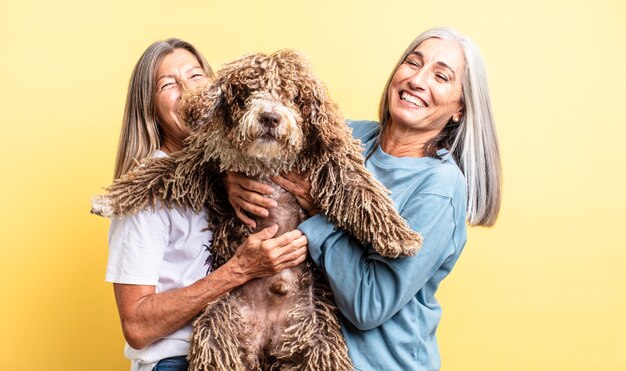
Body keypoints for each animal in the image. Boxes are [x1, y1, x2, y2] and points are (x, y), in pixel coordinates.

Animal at [91, 50, 420, 371]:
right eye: (248, 91)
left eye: (293, 96)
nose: (270, 117)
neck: (268, 163)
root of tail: (267, 341)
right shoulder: (204, 161)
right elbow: (158, 173)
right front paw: (109, 199)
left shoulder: (330, 162)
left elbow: (362, 190)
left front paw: (400, 236)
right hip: (219, 331)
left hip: (318, 341)